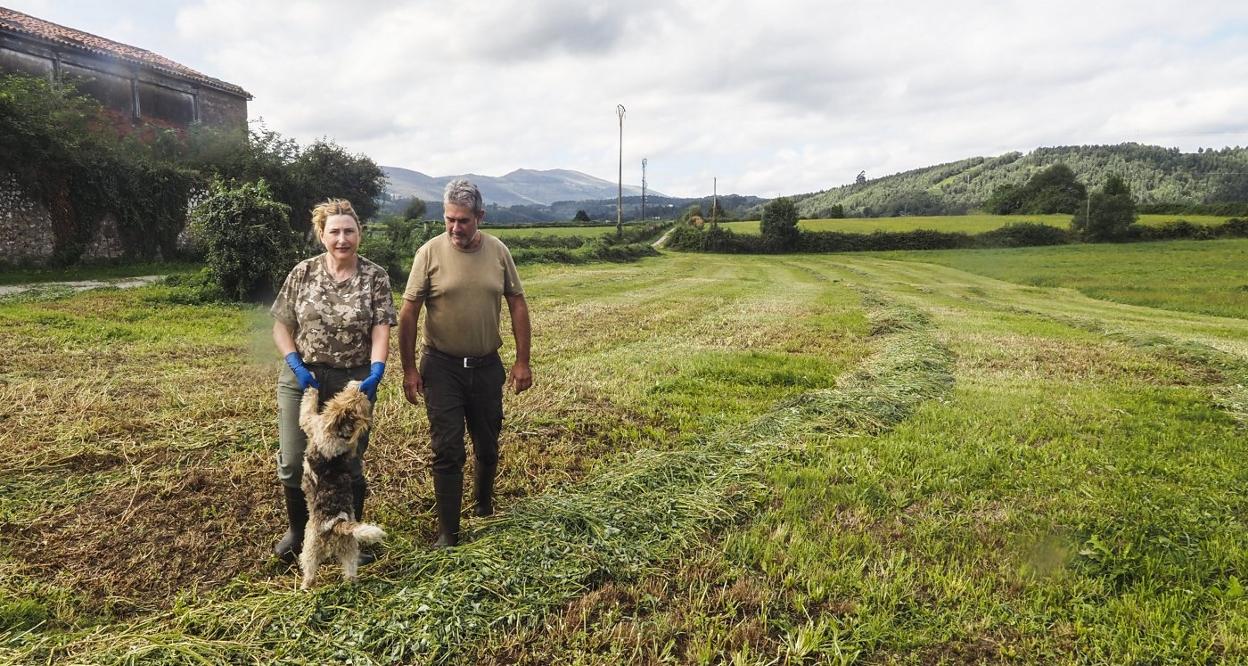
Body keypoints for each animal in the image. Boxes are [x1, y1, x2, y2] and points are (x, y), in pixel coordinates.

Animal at [297, 381, 384, 591]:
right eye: (359, 398)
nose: (359, 383)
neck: (341, 432)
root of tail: (337, 522)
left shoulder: (311, 422)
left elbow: (307, 408)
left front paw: (311, 386)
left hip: (311, 546)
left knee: (309, 570)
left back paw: (304, 587)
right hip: (350, 549)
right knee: (351, 571)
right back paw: (350, 586)